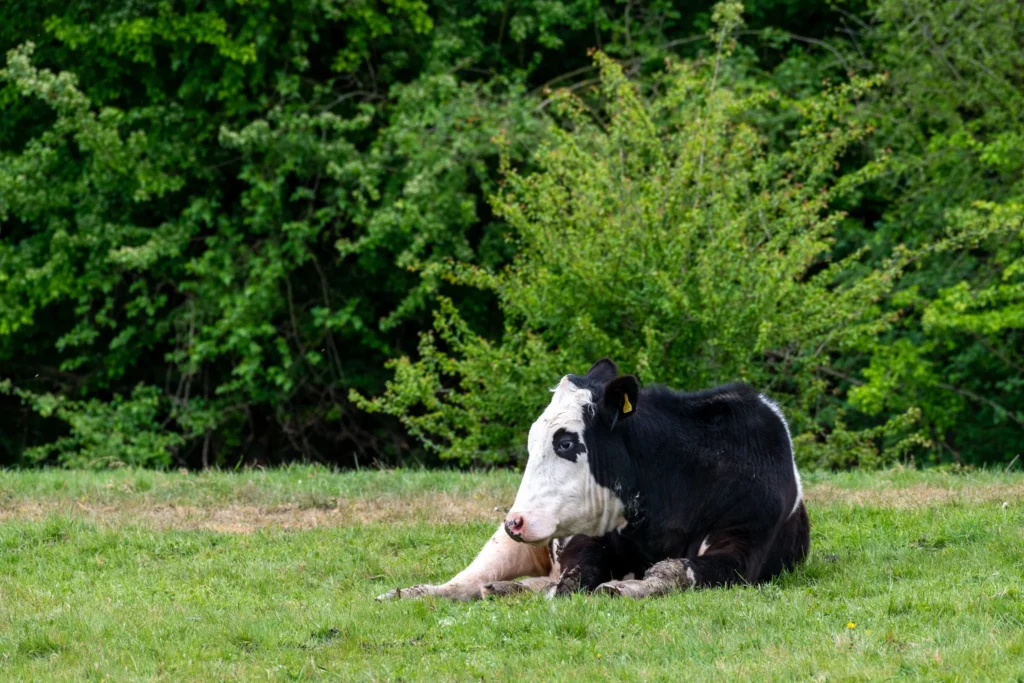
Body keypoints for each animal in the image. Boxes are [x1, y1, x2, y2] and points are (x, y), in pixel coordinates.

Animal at [378, 358, 810, 600]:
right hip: (509, 544)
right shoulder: (585, 537)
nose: (515, 520)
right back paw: (413, 593)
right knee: (467, 580)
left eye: (566, 442)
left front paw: (629, 587)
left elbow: (675, 570)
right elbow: (577, 574)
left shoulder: (743, 548)